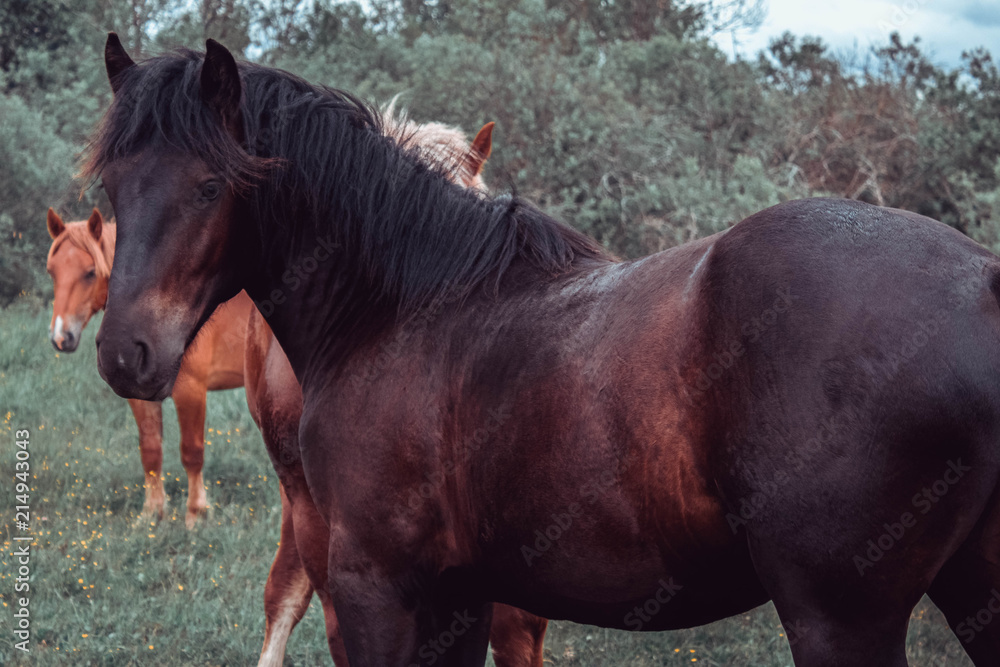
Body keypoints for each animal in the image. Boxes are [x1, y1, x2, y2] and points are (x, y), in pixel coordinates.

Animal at [45, 206, 253, 528]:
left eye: (90, 273)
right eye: (52, 271)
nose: (61, 337)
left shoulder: (191, 391)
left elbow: (192, 452)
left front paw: (196, 515)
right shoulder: (138, 396)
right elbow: (151, 451)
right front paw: (152, 513)